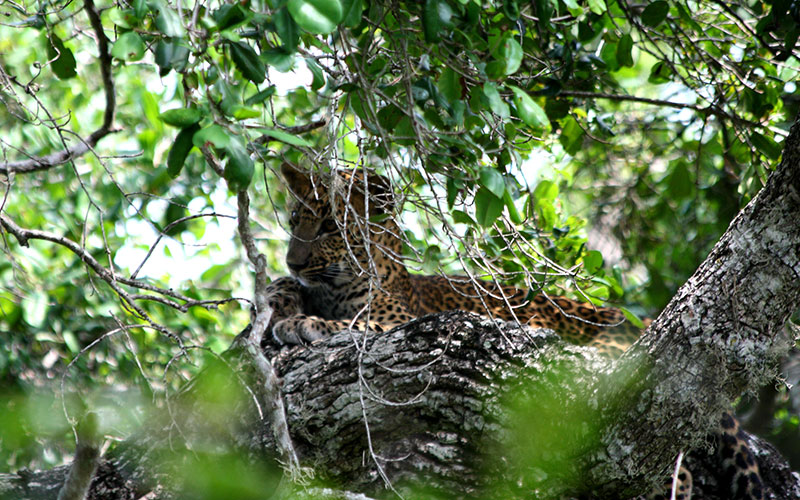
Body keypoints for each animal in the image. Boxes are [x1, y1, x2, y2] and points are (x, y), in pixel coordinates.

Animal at [265, 162, 764, 500]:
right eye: (292, 220)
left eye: (330, 226)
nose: (292, 261)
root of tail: (640, 324)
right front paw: (281, 293)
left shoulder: (396, 321)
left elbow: (350, 323)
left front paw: (300, 321)